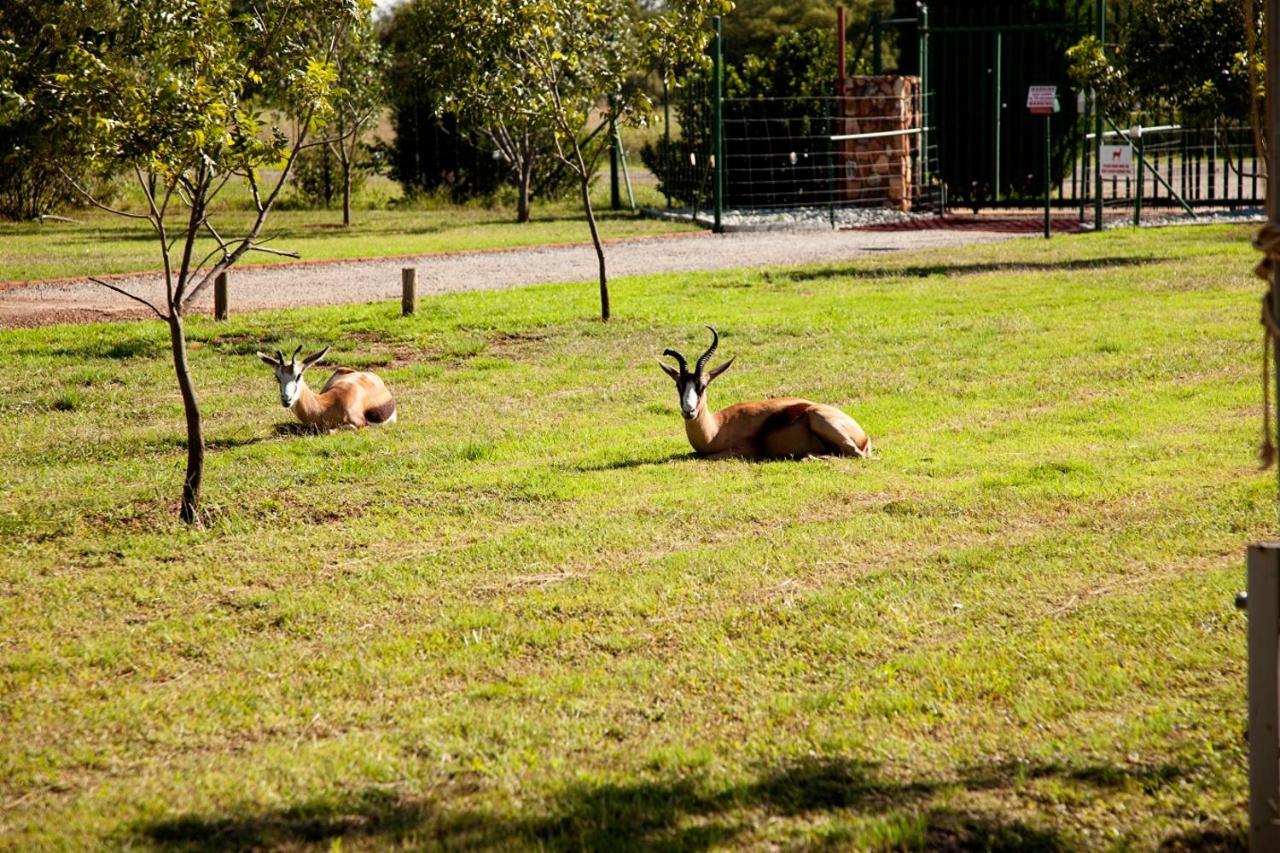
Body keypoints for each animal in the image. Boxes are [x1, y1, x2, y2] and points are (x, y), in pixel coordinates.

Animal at [660, 325, 870, 458]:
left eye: (702, 386)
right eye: (679, 385)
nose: (689, 411)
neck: (717, 427)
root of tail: (864, 436)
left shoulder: (740, 451)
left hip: (821, 420)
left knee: (858, 455)